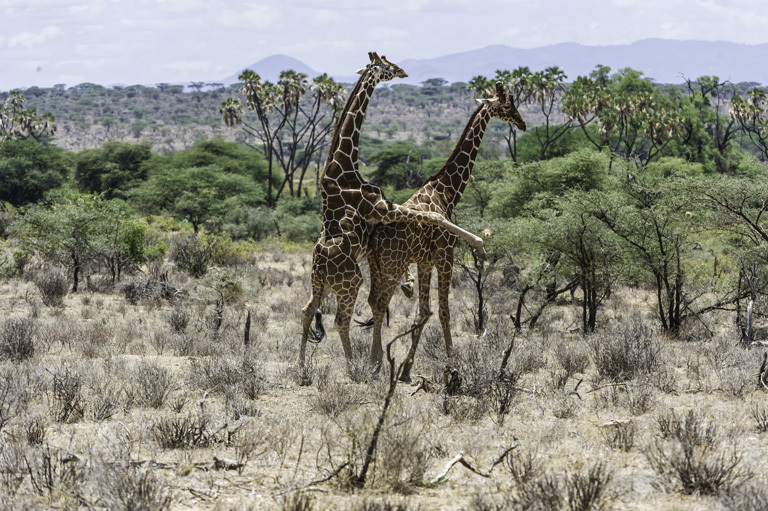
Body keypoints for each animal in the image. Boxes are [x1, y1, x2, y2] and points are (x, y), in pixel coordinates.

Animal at [298, 52, 486, 372]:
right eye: (387, 65)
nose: (404, 71)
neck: (343, 166)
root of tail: (322, 262)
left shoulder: (384, 215)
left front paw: (408, 284)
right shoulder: (383, 209)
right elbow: (434, 216)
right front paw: (479, 243)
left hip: (319, 283)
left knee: (307, 310)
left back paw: (300, 365)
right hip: (350, 282)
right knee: (341, 320)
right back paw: (355, 368)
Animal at [368, 83, 528, 380]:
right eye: (507, 105)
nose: (522, 123)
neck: (447, 193)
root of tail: (373, 238)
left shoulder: (424, 262)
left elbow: (423, 311)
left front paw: (407, 368)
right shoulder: (445, 256)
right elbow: (443, 313)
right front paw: (453, 363)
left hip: (377, 265)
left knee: (374, 301)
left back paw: (374, 362)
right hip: (394, 264)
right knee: (381, 303)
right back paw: (374, 364)